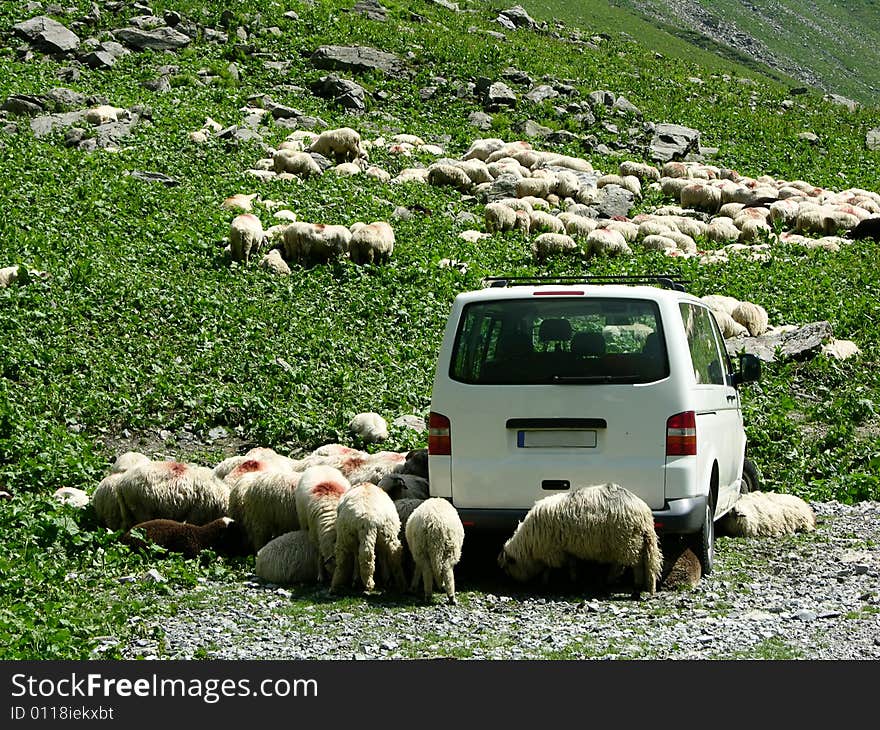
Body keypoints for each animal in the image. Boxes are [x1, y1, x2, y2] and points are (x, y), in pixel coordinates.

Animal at [498, 480, 664, 596]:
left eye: (507, 567)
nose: (511, 585)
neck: (529, 544)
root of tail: (644, 514)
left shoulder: (552, 551)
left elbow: (548, 569)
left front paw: (545, 583)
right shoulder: (567, 549)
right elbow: (572, 566)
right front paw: (574, 582)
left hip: (628, 542)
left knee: (635, 566)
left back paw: (634, 590)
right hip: (625, 543)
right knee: (621, 566)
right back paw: (609, 582)